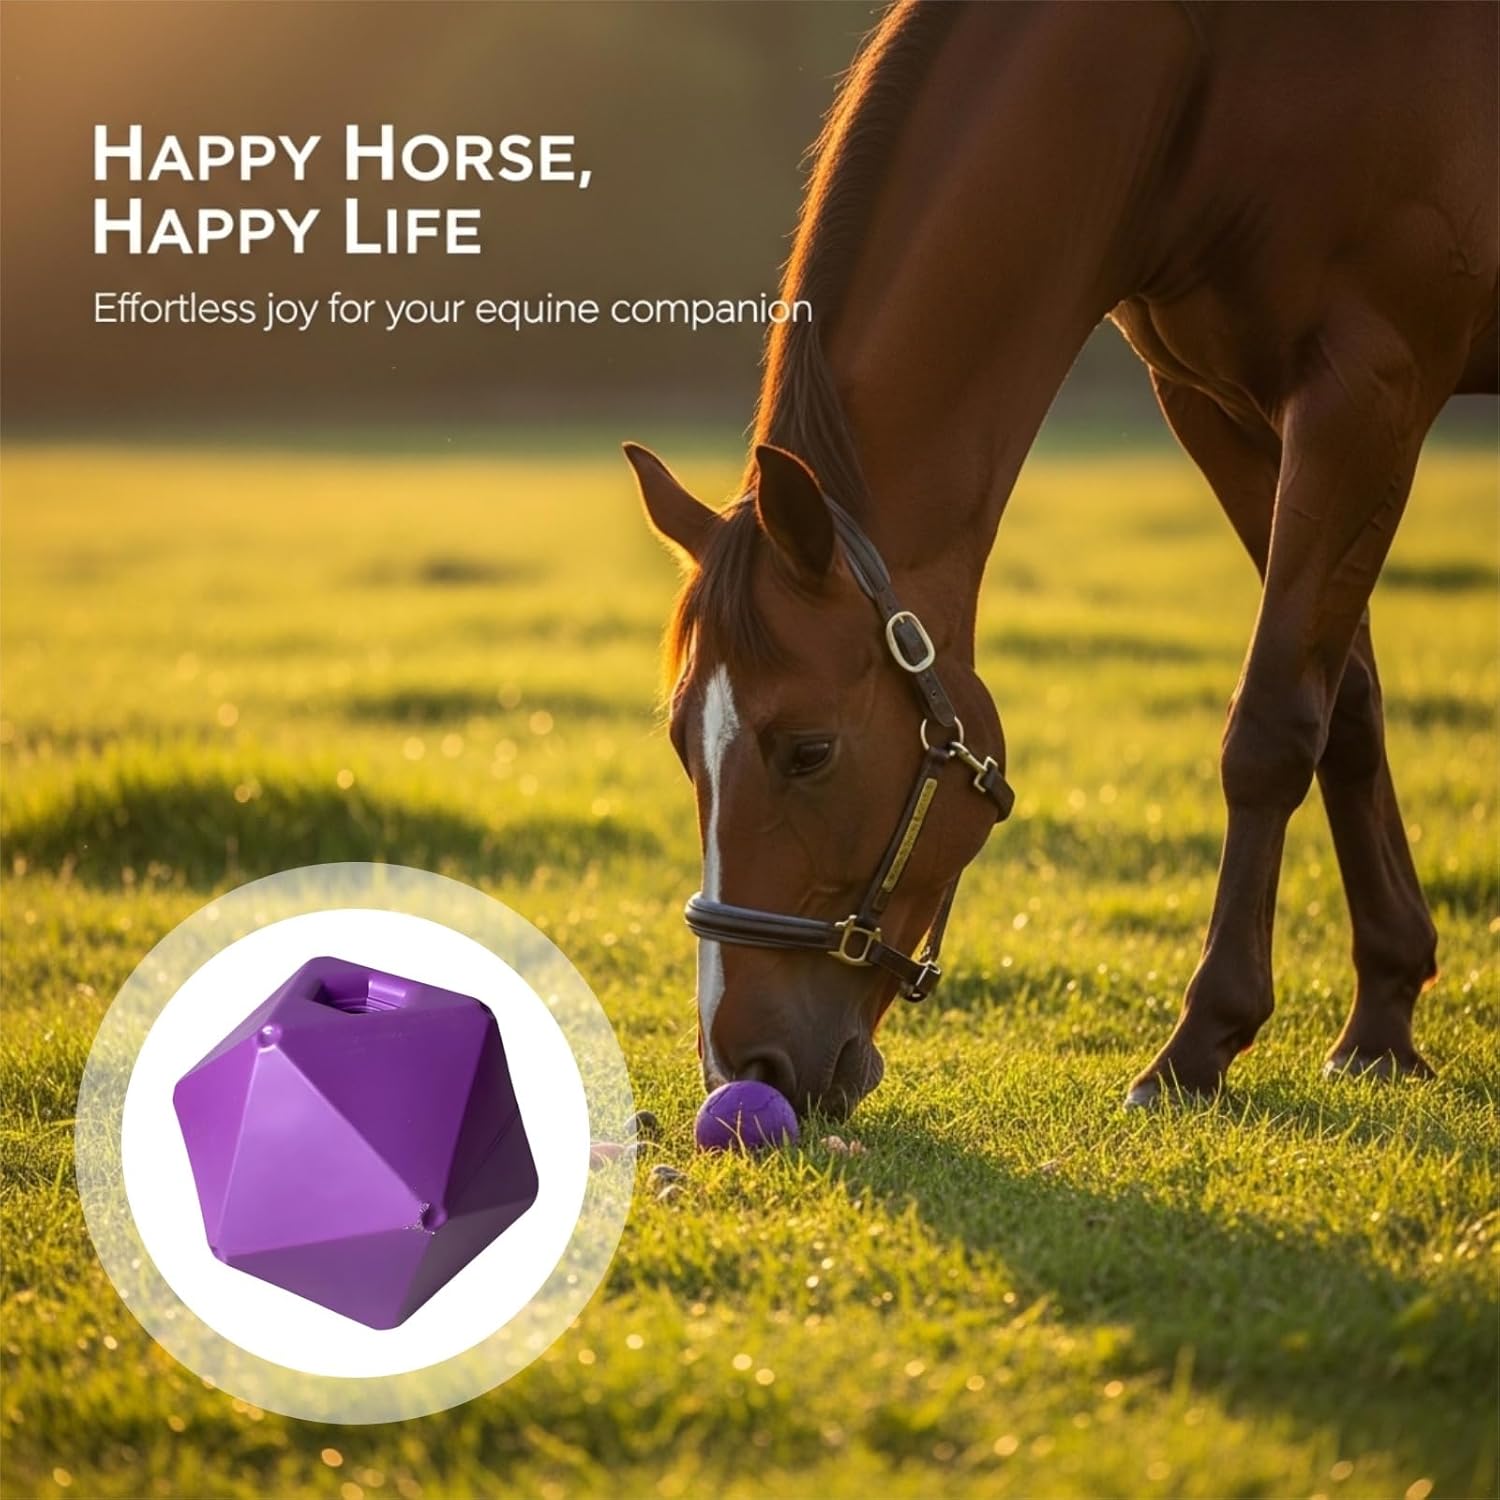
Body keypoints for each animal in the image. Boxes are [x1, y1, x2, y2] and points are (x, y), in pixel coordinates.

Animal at [623, 0, 1498, 1116]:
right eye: (683, 743)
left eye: (807, 750)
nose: (742, 1067)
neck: (1205, 78)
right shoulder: (1222, 405)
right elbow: (1343, 702)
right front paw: (1384, 1017)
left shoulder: (1368, 388)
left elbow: (1269, 723)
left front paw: (1201, 1043)